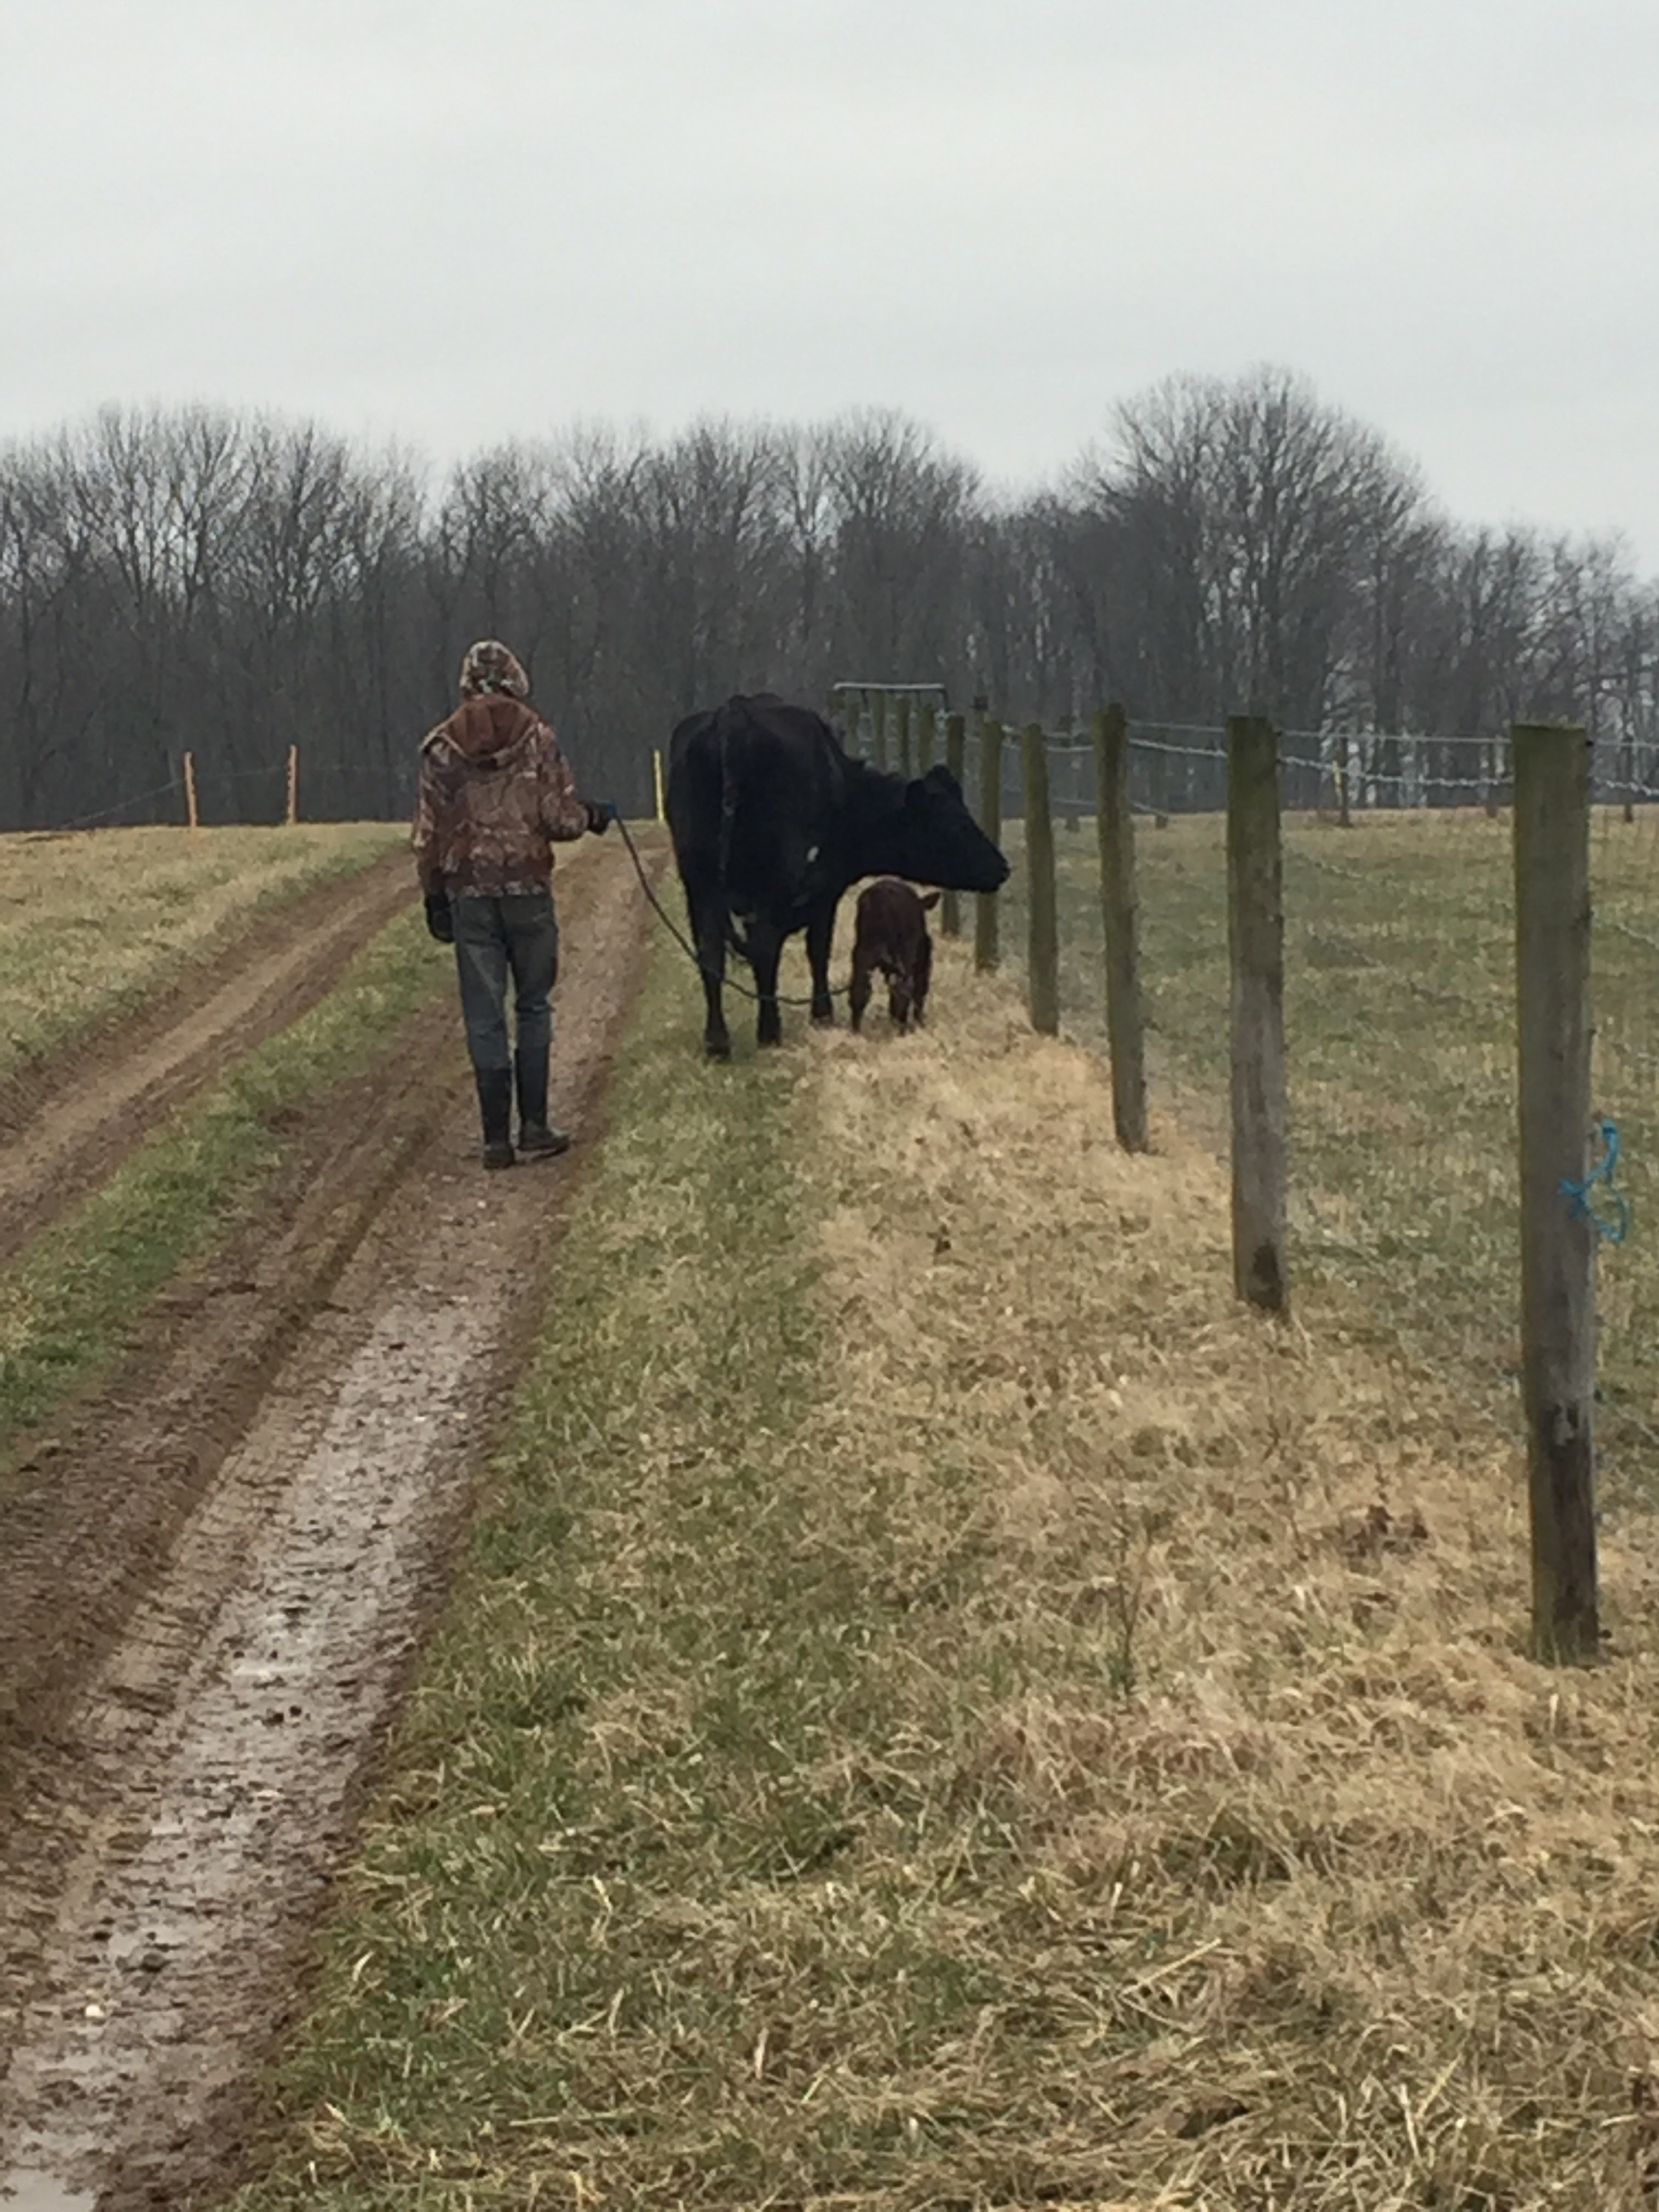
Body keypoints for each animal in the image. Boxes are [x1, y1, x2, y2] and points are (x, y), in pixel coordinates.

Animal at [849, 878, 939, 1034]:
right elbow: (919, 990)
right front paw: (919, 1023)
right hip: (904, 957)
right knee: (904, 990)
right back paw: (901, 1029)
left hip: (863, 954)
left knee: (858, 989)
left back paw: (856, 1031)